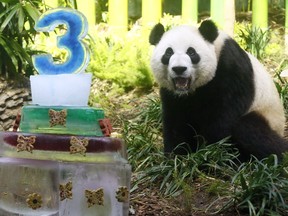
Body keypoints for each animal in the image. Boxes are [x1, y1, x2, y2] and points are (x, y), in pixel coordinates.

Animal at [148, 20, 288, 161]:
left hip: (267, 116)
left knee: (250, 130)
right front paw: (176, 156)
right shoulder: (172, 95)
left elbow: (222, 118)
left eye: (191, 52)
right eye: (168, 53)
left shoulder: (230, 69)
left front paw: (209, 153)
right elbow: (176, 122)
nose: (179, 69)